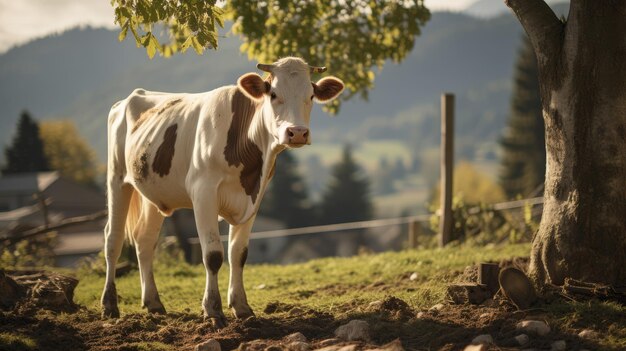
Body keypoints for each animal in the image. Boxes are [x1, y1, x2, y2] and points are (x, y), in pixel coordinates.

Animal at [100, 56, 344, 328]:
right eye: (273, 94)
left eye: (311, 95)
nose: (298, 132)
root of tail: (130, 98)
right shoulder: (203, 193)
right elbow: (213, 255)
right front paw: (213, 310)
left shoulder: (255, 196)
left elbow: (238, 254)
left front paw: (242, 307)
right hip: (117, 178)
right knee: (113, 239)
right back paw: (109, 305)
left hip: (154, 191)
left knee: (145, 240)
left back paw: (153, 303)